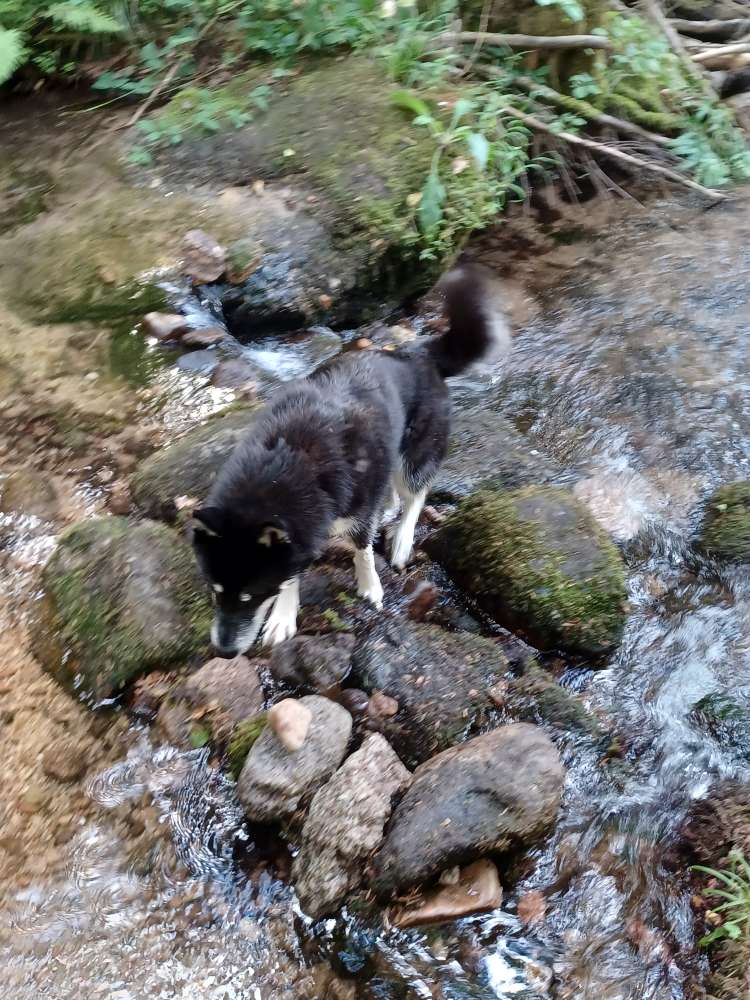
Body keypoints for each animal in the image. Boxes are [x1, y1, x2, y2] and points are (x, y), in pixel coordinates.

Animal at [194, 266, 512, 656]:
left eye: (250, 595)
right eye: (215, 590)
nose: (224, 651)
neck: (289, 462)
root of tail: (419, 353)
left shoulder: (351, 515)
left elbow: (362, 551)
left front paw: (370, 586)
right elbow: (293, 572)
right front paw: (284, 615)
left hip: (413, 456)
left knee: (416, 493)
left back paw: (402, 539)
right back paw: (389, 512)